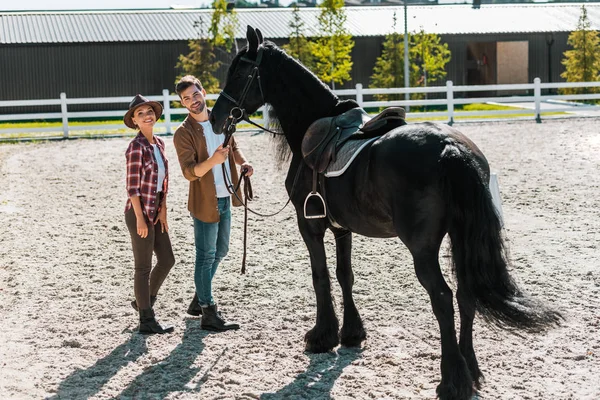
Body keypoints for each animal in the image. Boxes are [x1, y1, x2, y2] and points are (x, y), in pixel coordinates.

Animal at [210, 26, 556, 398]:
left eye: (240, 72)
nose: (215, 117)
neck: (311, 126)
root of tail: (451, 148)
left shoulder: (310, 225)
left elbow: (320, 276)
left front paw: (322, 336)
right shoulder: (342, 227)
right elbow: (344, 275)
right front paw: (350, 333)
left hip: (422, 247)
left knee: (443, 297)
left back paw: (451, 380)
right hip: (460, 236)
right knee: (466, 295)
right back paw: (471, 370)